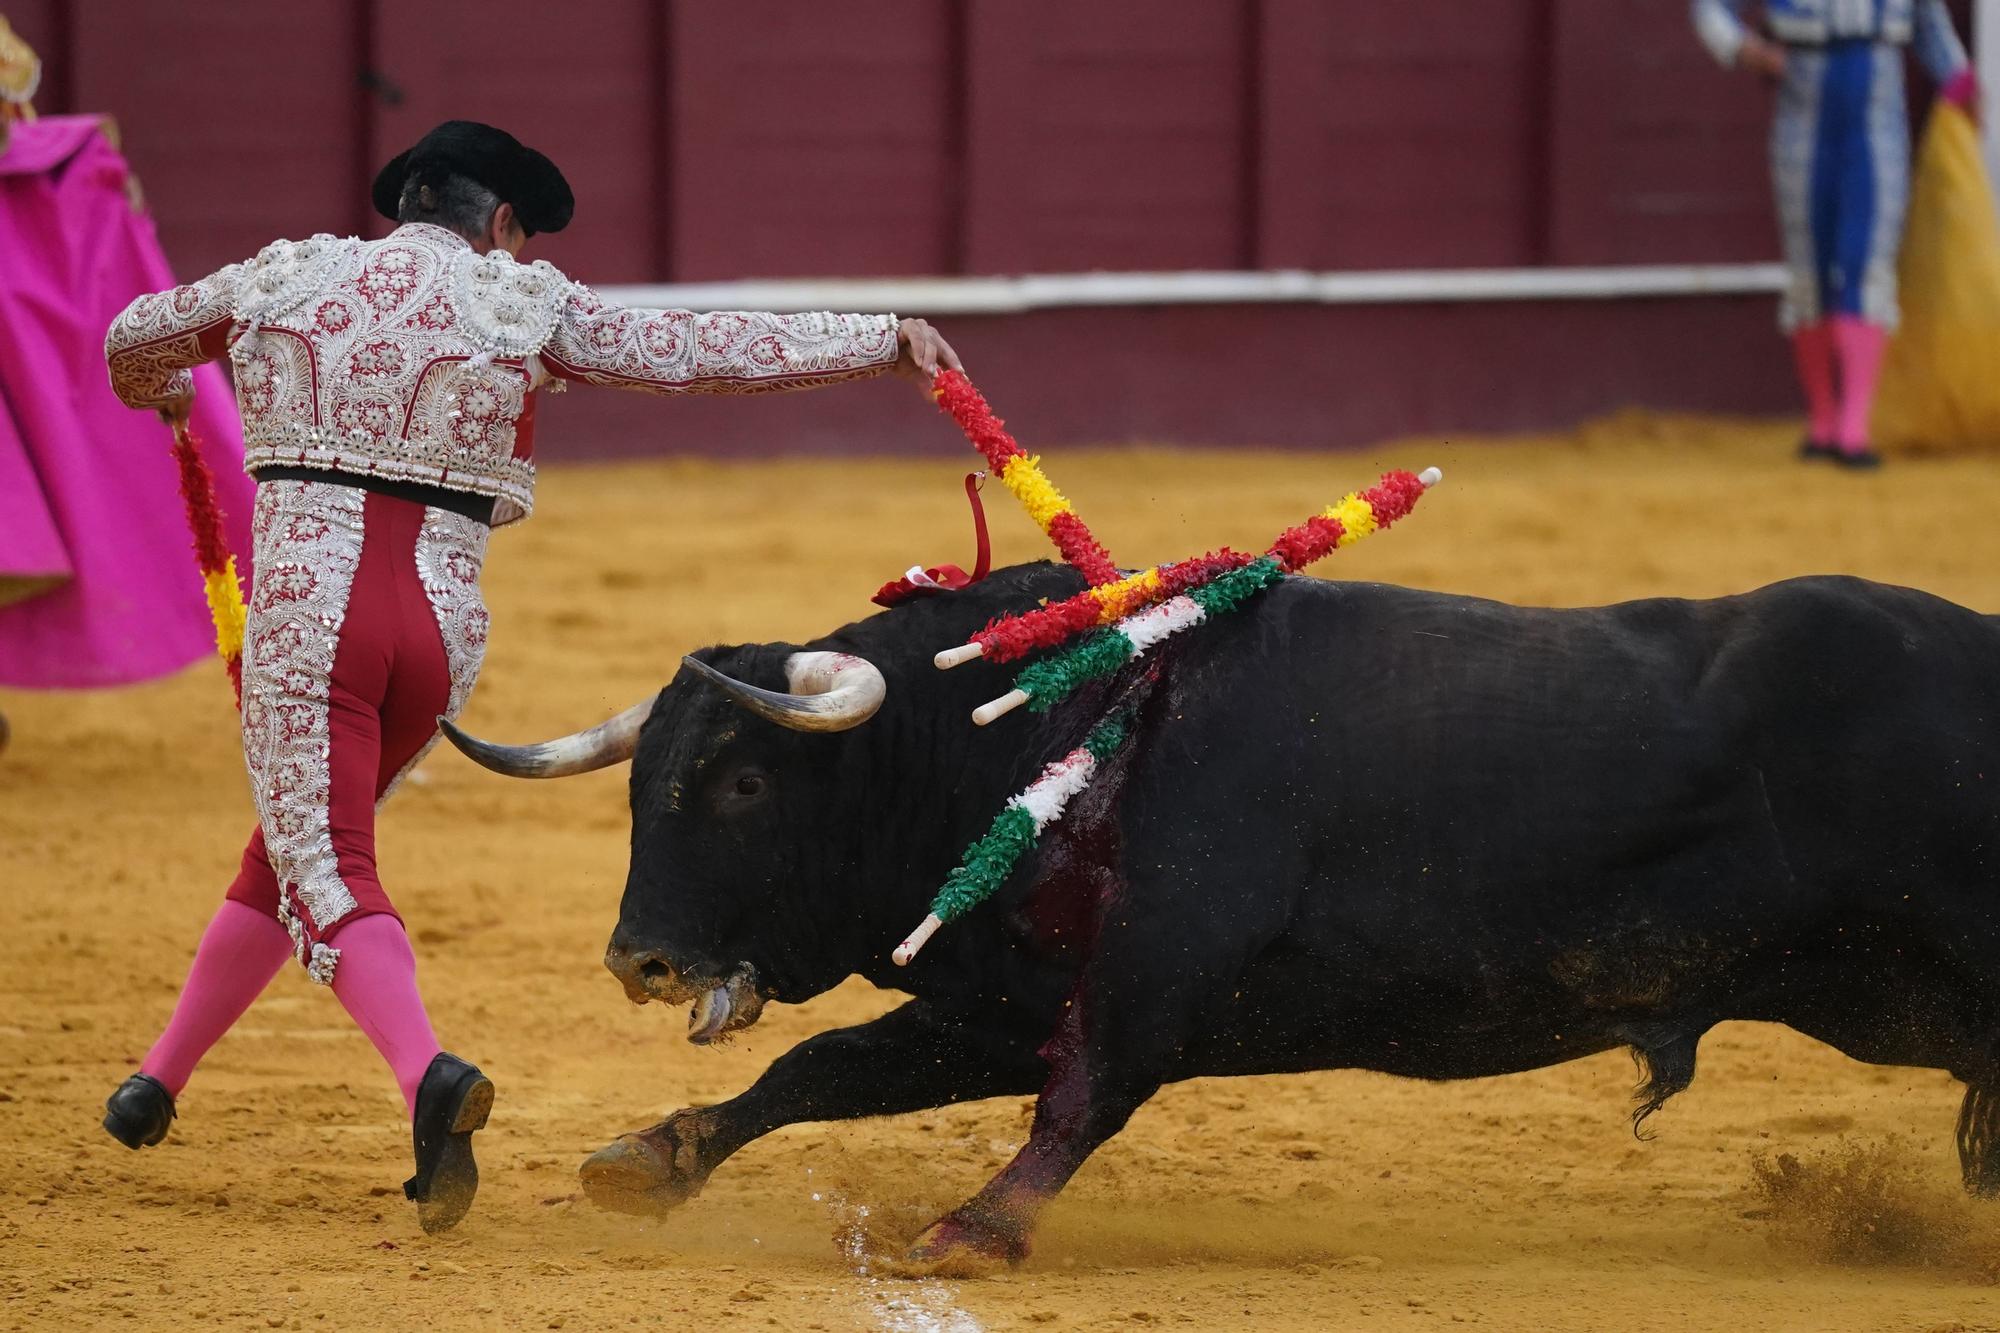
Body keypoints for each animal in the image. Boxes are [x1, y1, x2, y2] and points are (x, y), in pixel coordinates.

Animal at [446, 560, 2000, 1256]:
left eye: (743, 781)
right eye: (643, 779)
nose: (641, 959)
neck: (1038, 737)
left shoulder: (1154, 980)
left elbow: (1082, 1097)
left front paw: (976, 1231)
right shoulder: (998, 1004)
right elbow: (825, 1068)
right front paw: (653, 1157)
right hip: (1873, 988)